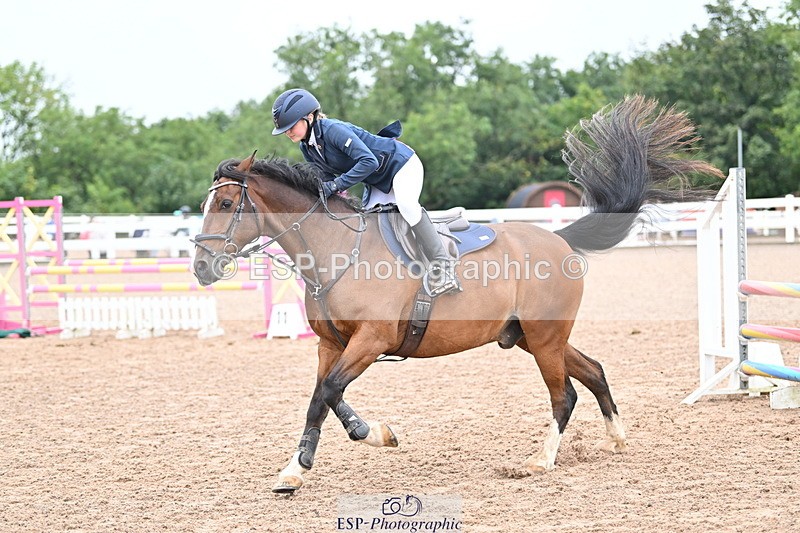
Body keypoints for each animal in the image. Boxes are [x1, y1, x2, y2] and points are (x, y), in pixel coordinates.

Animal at [191, 95, 723, 494]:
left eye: (226, 202)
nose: (200, 266)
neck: (336, 250)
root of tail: (559, 239)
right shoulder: (331, 344)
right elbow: (322, 397)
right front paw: (301, 467)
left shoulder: (371, 340)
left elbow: (328, 393)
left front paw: (365, 438)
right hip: (530, 335)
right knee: (592, 371)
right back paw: (616, 439)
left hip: (544, 338)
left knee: (564, 393)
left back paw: (541, 460)